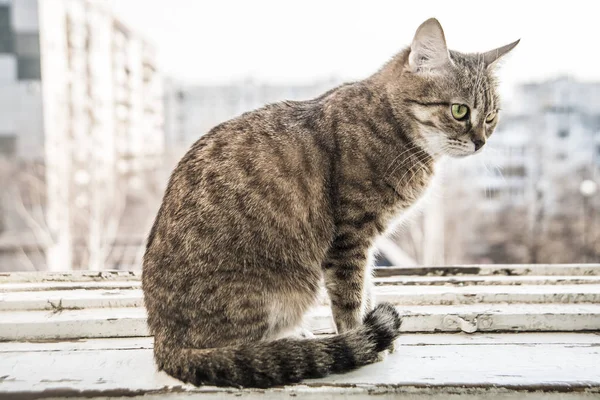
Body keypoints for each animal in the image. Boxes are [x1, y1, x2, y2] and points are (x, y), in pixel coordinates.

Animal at [143, 18, 516, 388]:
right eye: (460, 110)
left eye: (491, 117)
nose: (481, 142)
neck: (391, 123)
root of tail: (163, 341)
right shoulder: (350, 236)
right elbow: (350, 297)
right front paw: (359, 337)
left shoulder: (368, 242)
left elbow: (367, 289)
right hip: (286, 288)